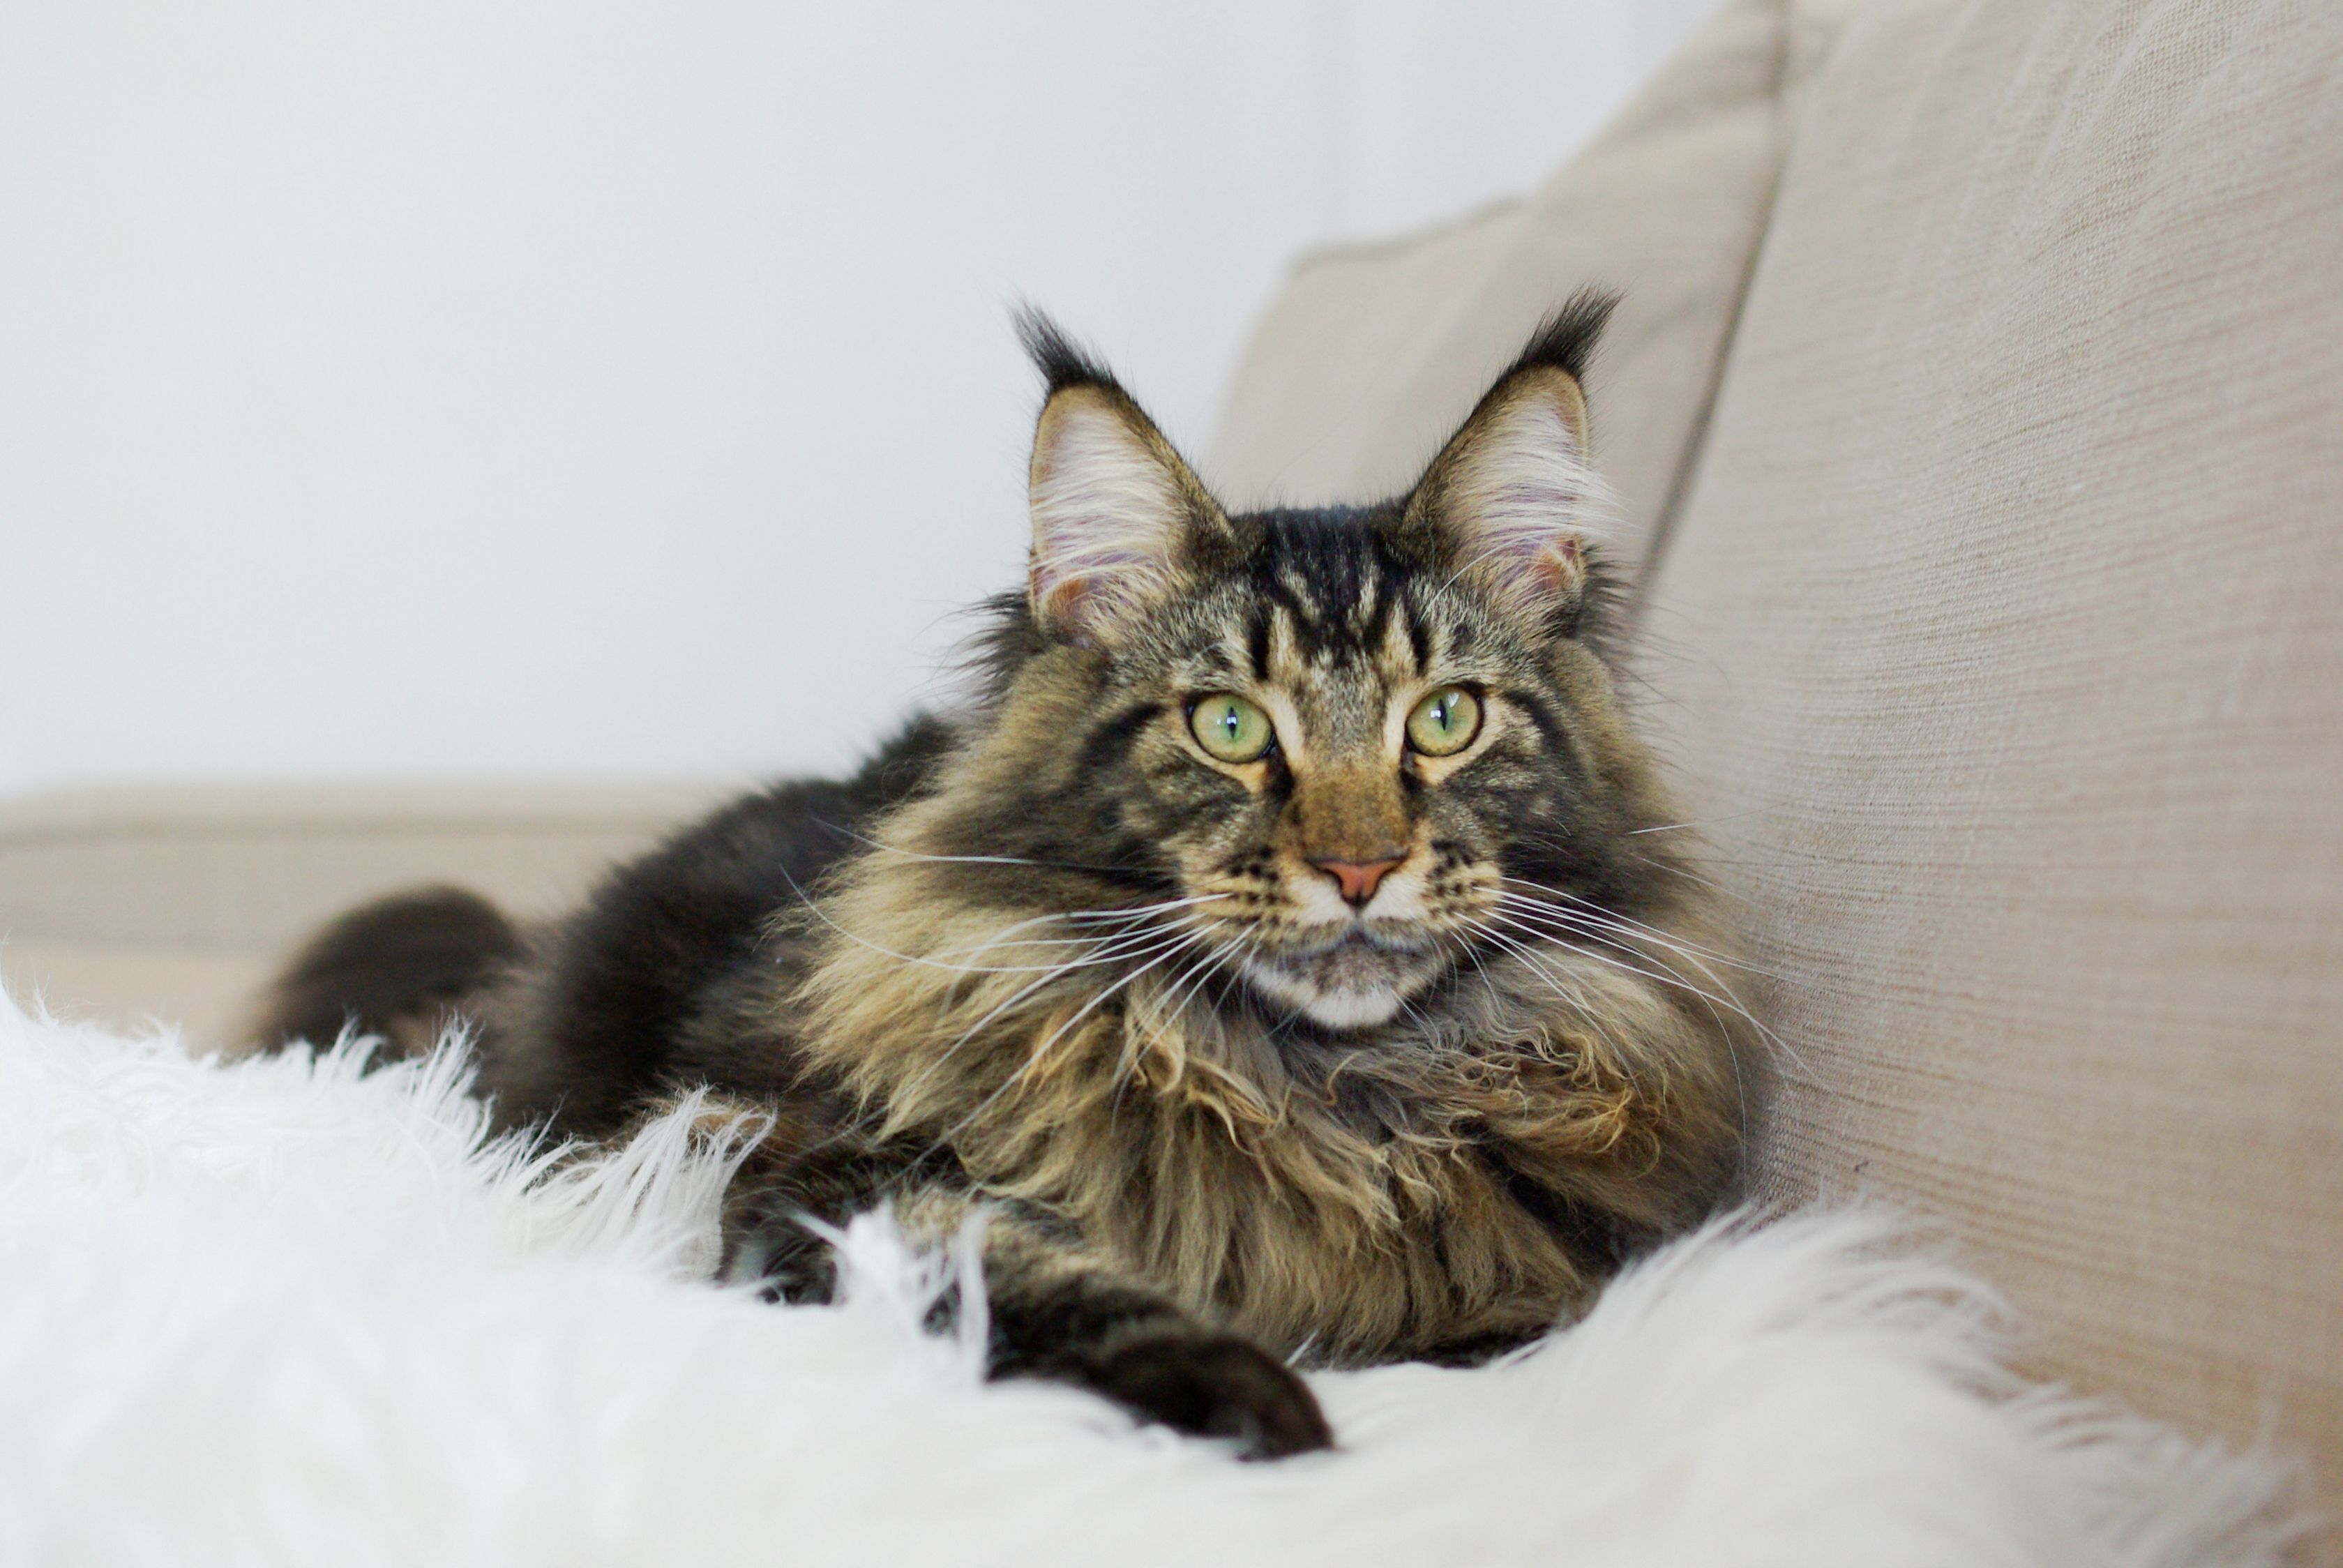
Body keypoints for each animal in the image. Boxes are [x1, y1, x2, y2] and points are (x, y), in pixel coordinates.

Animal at [266, 296, 1752, 1472]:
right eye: (1228, 725)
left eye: (1442, 720)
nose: (1357, 863)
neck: (1308, 1090)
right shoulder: (816, 1165)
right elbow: (1021, 1271)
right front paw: (1251, 1403)